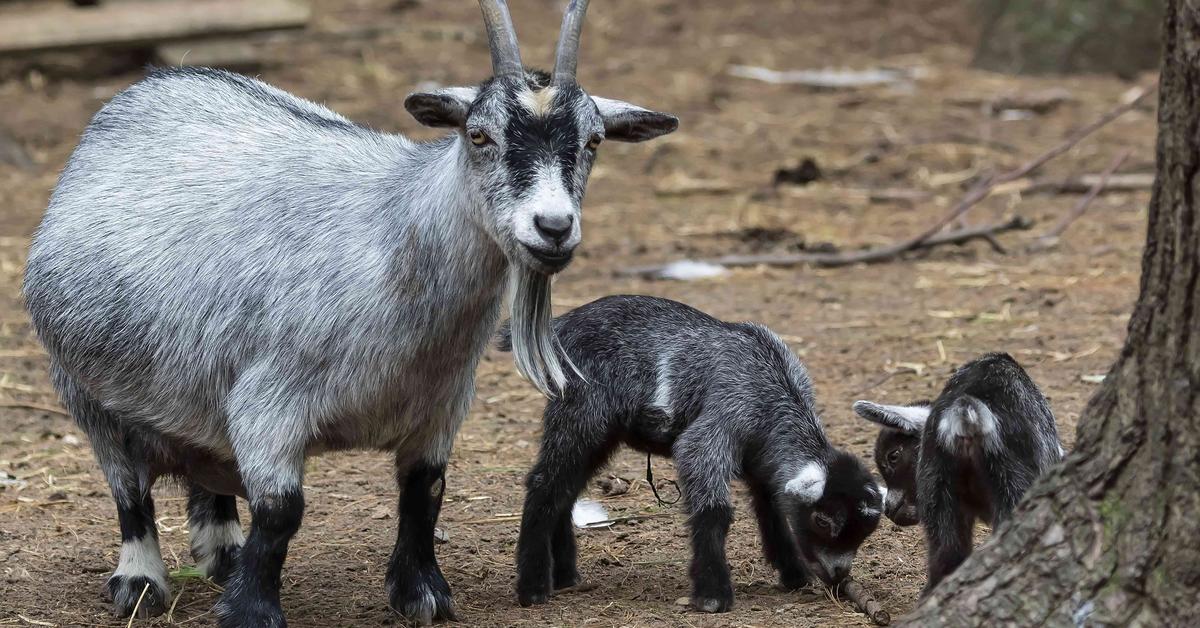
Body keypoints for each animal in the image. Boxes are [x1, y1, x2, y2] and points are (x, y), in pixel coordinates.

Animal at [21, 2, 676, 624]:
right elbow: (282, 511)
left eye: (593, 141)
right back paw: (139, 583)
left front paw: (423, 594)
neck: (397, 237)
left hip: (196, 398)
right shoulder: (269, 404)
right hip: (87, 394)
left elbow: (425, 493)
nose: (553, 227)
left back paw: (223, 554)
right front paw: (252, 610)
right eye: (479, 136)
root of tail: (155, 85)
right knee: (129, 493)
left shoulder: (440, 407)